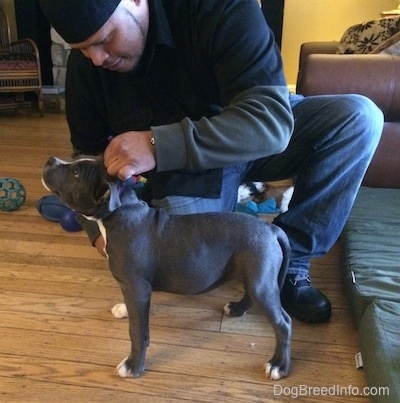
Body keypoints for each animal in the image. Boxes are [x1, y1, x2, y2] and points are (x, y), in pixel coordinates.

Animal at [42, 156, 292, 380]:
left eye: (76, 173)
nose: (50, 160)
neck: (120, 211)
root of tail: (271, 230)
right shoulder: (135, 289)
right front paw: (124, 309)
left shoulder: (137, 288)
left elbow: (138, 332)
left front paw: (133, 366)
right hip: (255, 275)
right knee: (251, 295)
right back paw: (237, 309)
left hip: (260, 280)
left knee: (283, 323)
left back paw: (278, 365)